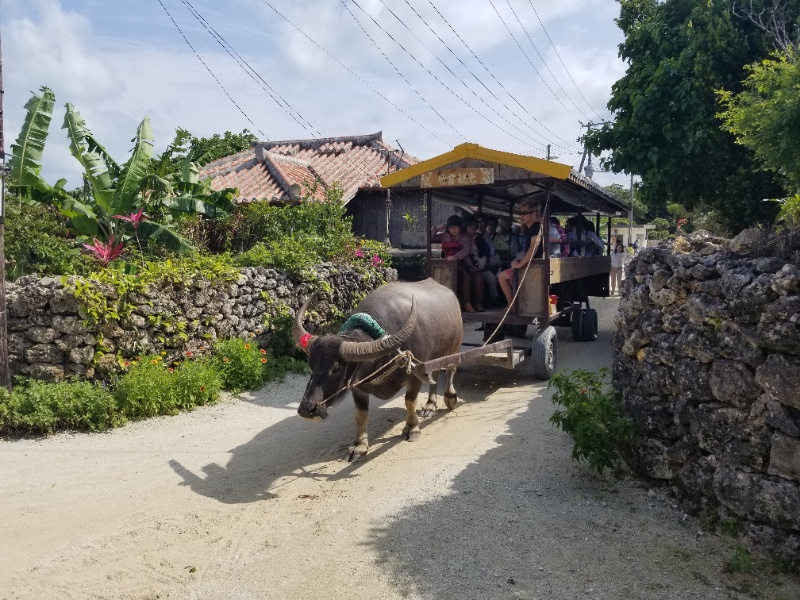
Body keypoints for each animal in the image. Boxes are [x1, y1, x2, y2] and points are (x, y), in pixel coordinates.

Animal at [296, 278, 466, 462]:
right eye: (311, 366)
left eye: (336, 369)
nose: (307, 409)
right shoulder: (358, 386)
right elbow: (360, 414)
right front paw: (360, 446)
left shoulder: (413, 376)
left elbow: (409, 402)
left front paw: (412, 428)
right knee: (433, 374)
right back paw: (430, 405)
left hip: (454, 348)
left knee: (450, 370)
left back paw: (450, 397)